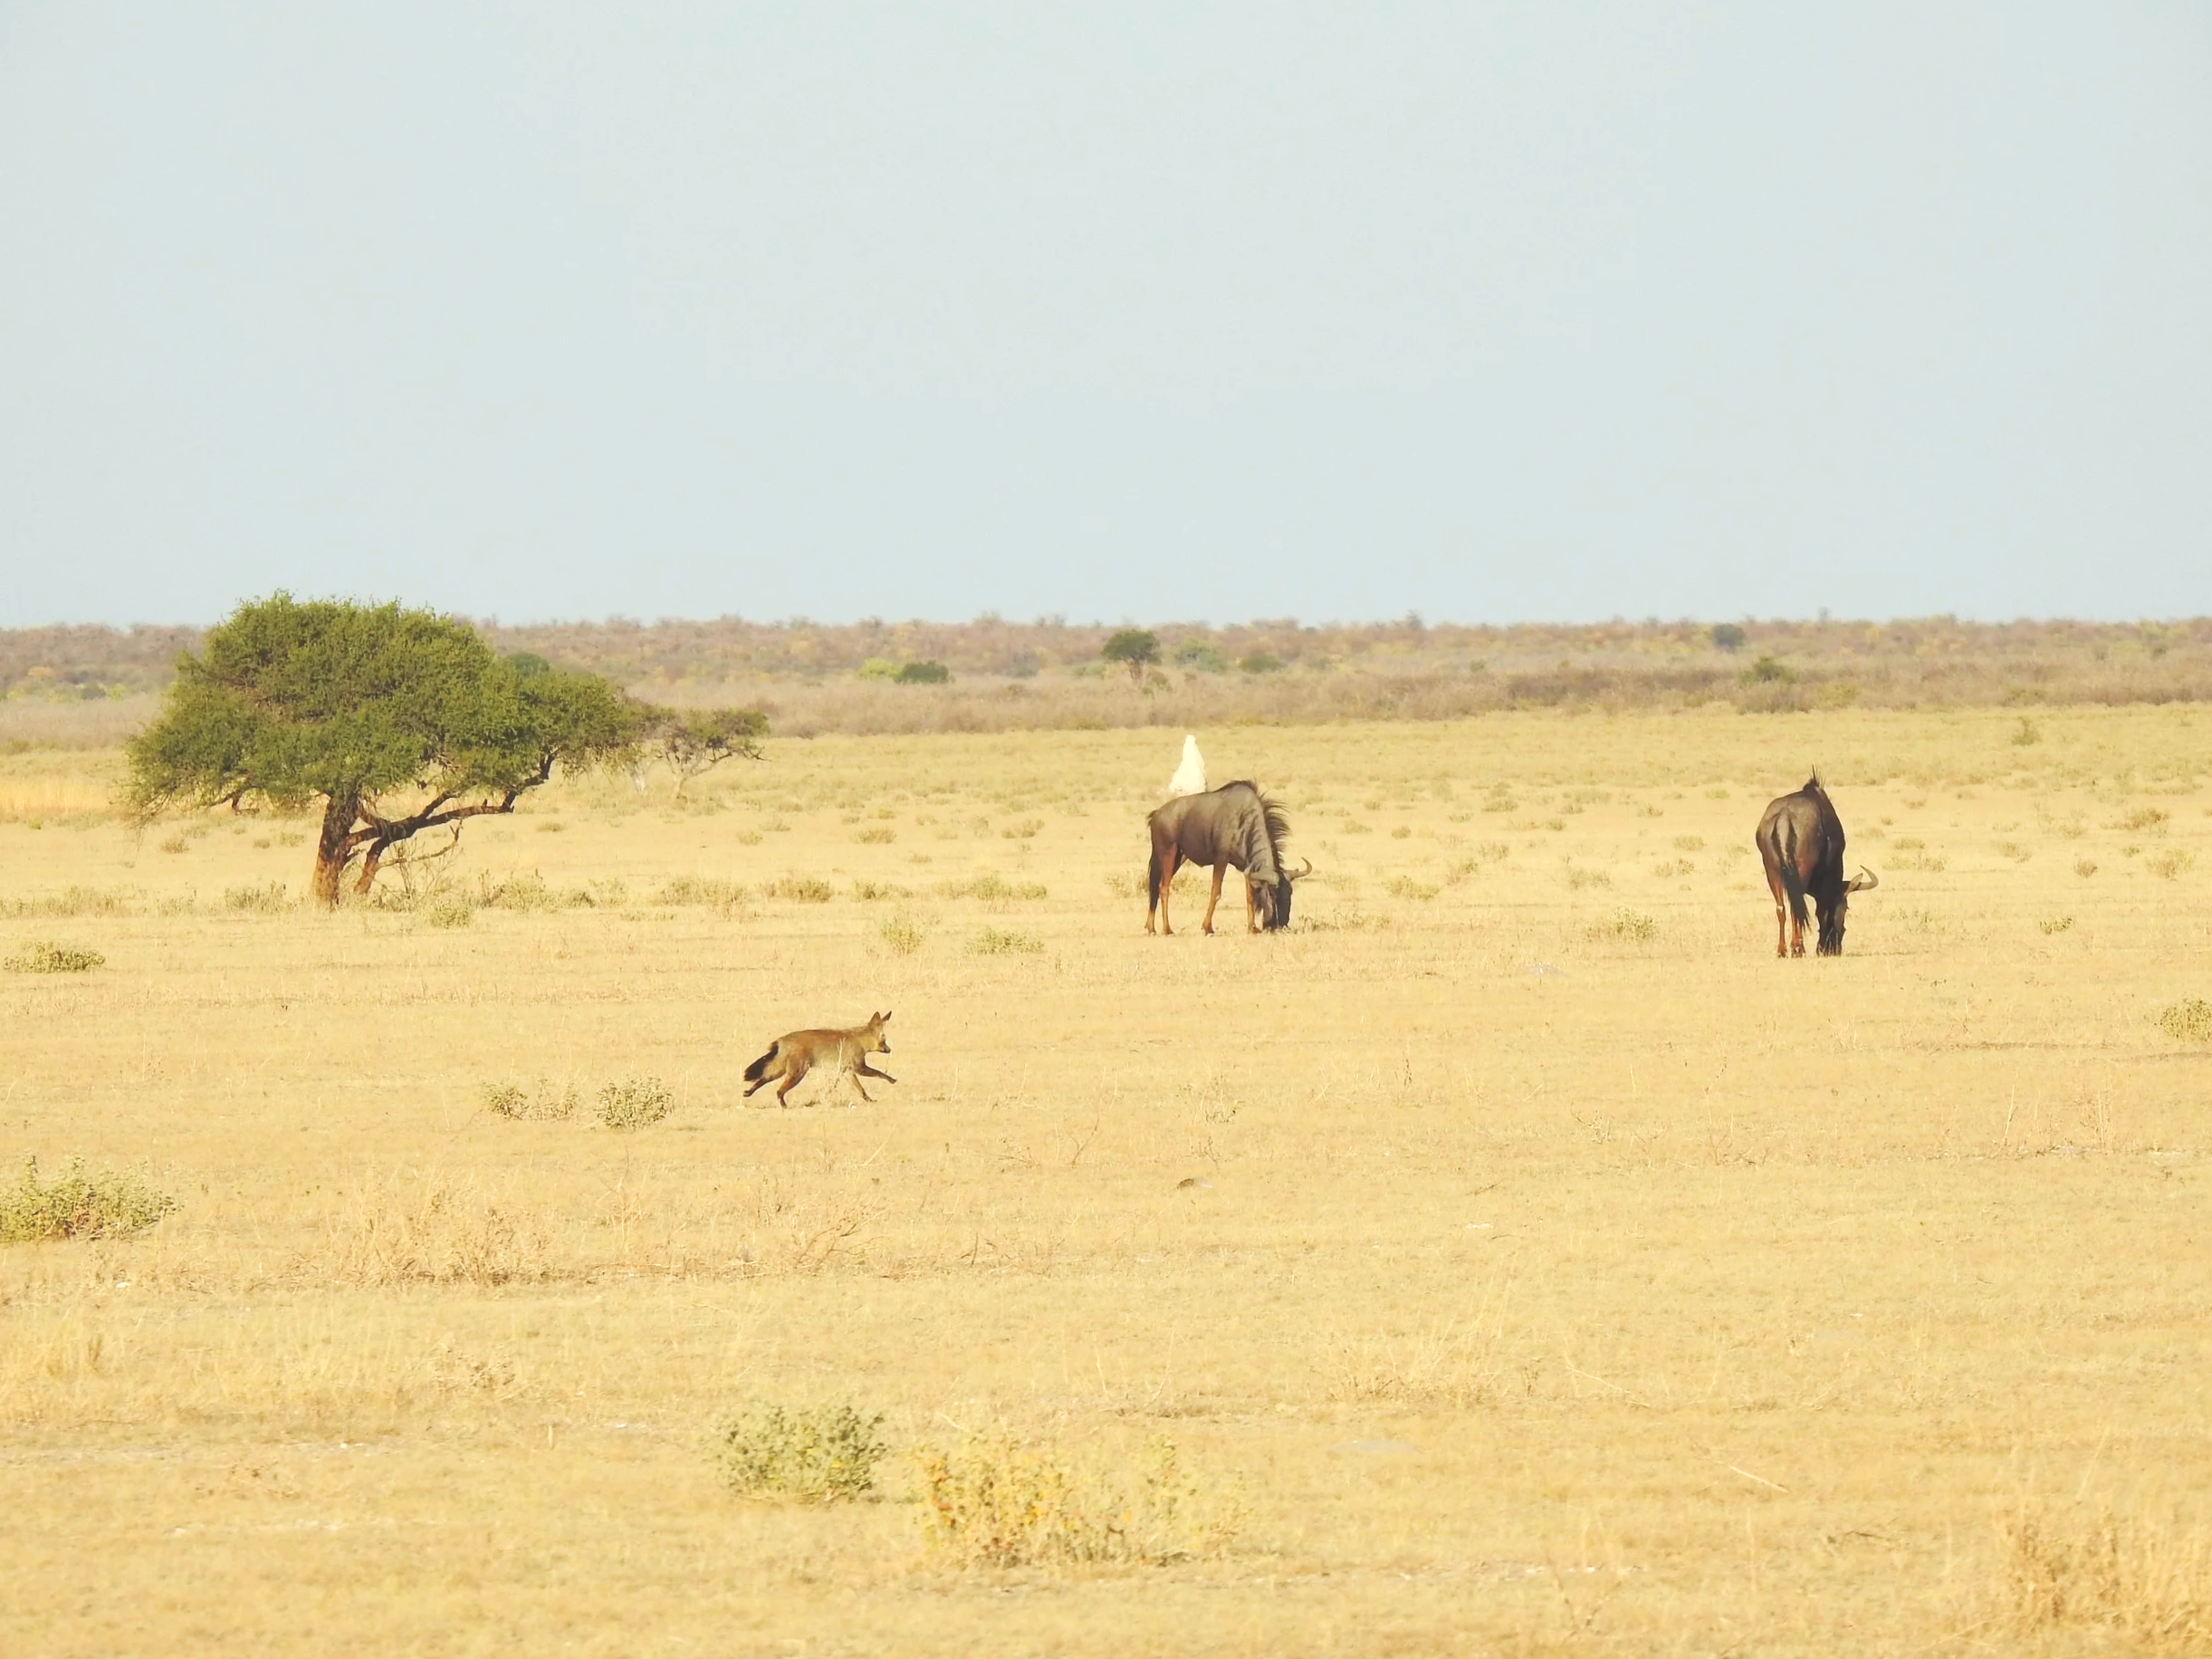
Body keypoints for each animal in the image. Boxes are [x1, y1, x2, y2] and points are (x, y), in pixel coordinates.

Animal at [742, 1010, 895, 1107]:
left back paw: (748, 1093)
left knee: (762, 1079)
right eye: (884, 1039)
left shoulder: (846, 1071)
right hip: (797, 1073)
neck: (860, 1039)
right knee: (779, 1091)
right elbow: (880, 1073)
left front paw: (869, 1100)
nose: (890, 1050)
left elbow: (860, 1089)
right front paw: (892, 1080)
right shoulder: (859, 1068)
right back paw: (784, 1106)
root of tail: (782, 1040)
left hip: (780, 1070)